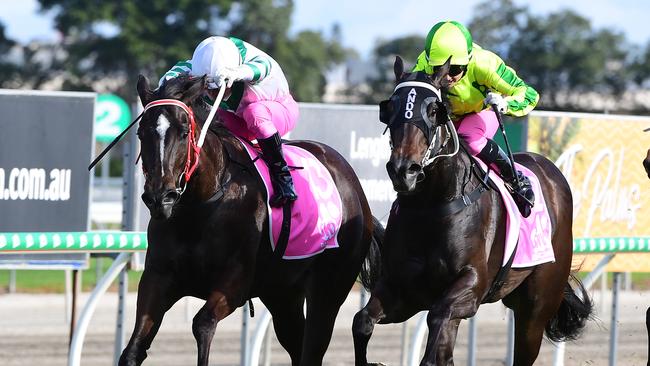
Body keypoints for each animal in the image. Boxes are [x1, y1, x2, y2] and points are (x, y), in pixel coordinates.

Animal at [117, 73, 380, 364]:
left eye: (184, 133)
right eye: (141, 133)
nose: (160, 198)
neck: (200, 207)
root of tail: (355, 188)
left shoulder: (235, 282)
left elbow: (202, 323)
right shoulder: (158, 277)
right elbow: (133, 349)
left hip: (329, 289)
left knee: (313, 346)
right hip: (282, 294)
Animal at [352, 57, 588, 366]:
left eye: (433, 111)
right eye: (390, 108)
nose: (404, 170)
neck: (431, 205)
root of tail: (550, 170)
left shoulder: (471, 287)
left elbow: (437, 321)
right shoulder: (403, 289)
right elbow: (362, 321)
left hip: (537, 305)